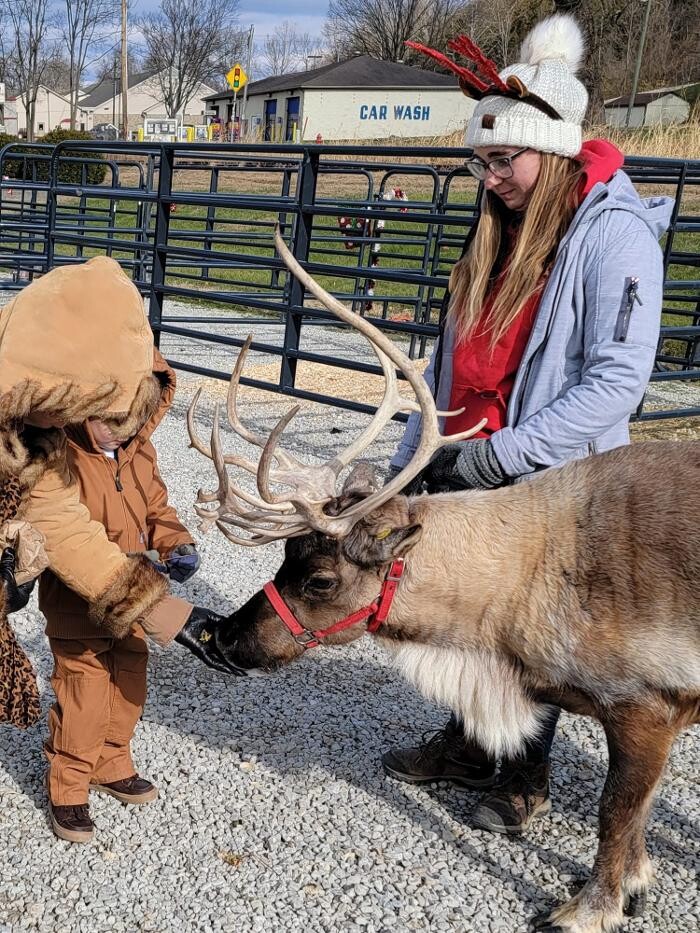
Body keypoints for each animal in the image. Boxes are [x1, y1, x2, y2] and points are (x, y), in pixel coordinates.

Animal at [186, 228, 700, 933]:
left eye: (319, 580)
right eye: (283, 556)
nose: (222, 636)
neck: (521, 582)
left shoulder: (645, 703)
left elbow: (616, 812)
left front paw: (591, 908)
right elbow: (640, 811)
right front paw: (639, 882)